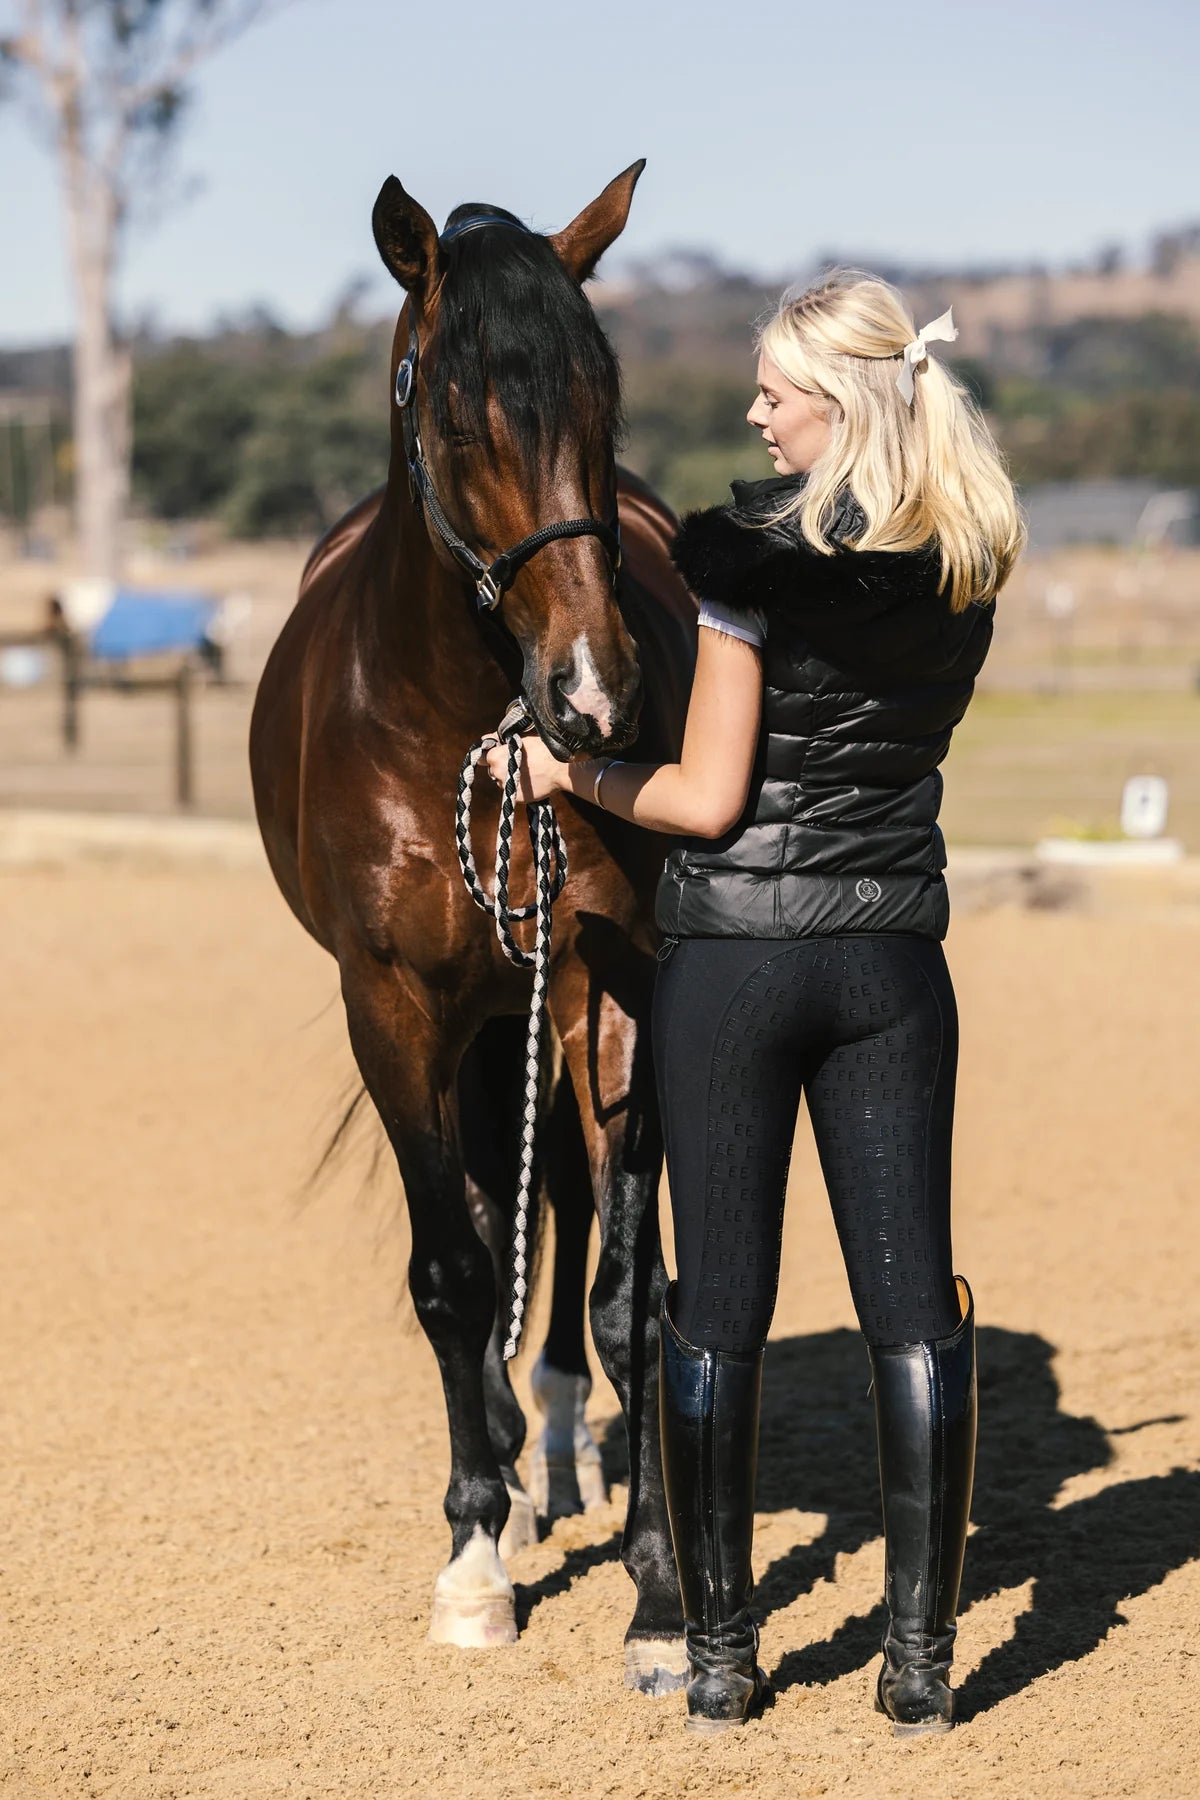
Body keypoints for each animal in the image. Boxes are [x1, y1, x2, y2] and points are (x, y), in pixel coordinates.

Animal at [250, 162, 698, 1692]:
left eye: (605, 401)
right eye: (456, 416)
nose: (598, 700)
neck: (463, 716)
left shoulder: (612, 988)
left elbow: (627, 1286)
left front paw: (664, 1594)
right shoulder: (389, 1006)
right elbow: (450, 1274)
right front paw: (471, 1562)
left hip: (535, 1005)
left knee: (556, 1200)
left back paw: (556, 1448)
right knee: (499, 1217)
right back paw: (509, 1467)